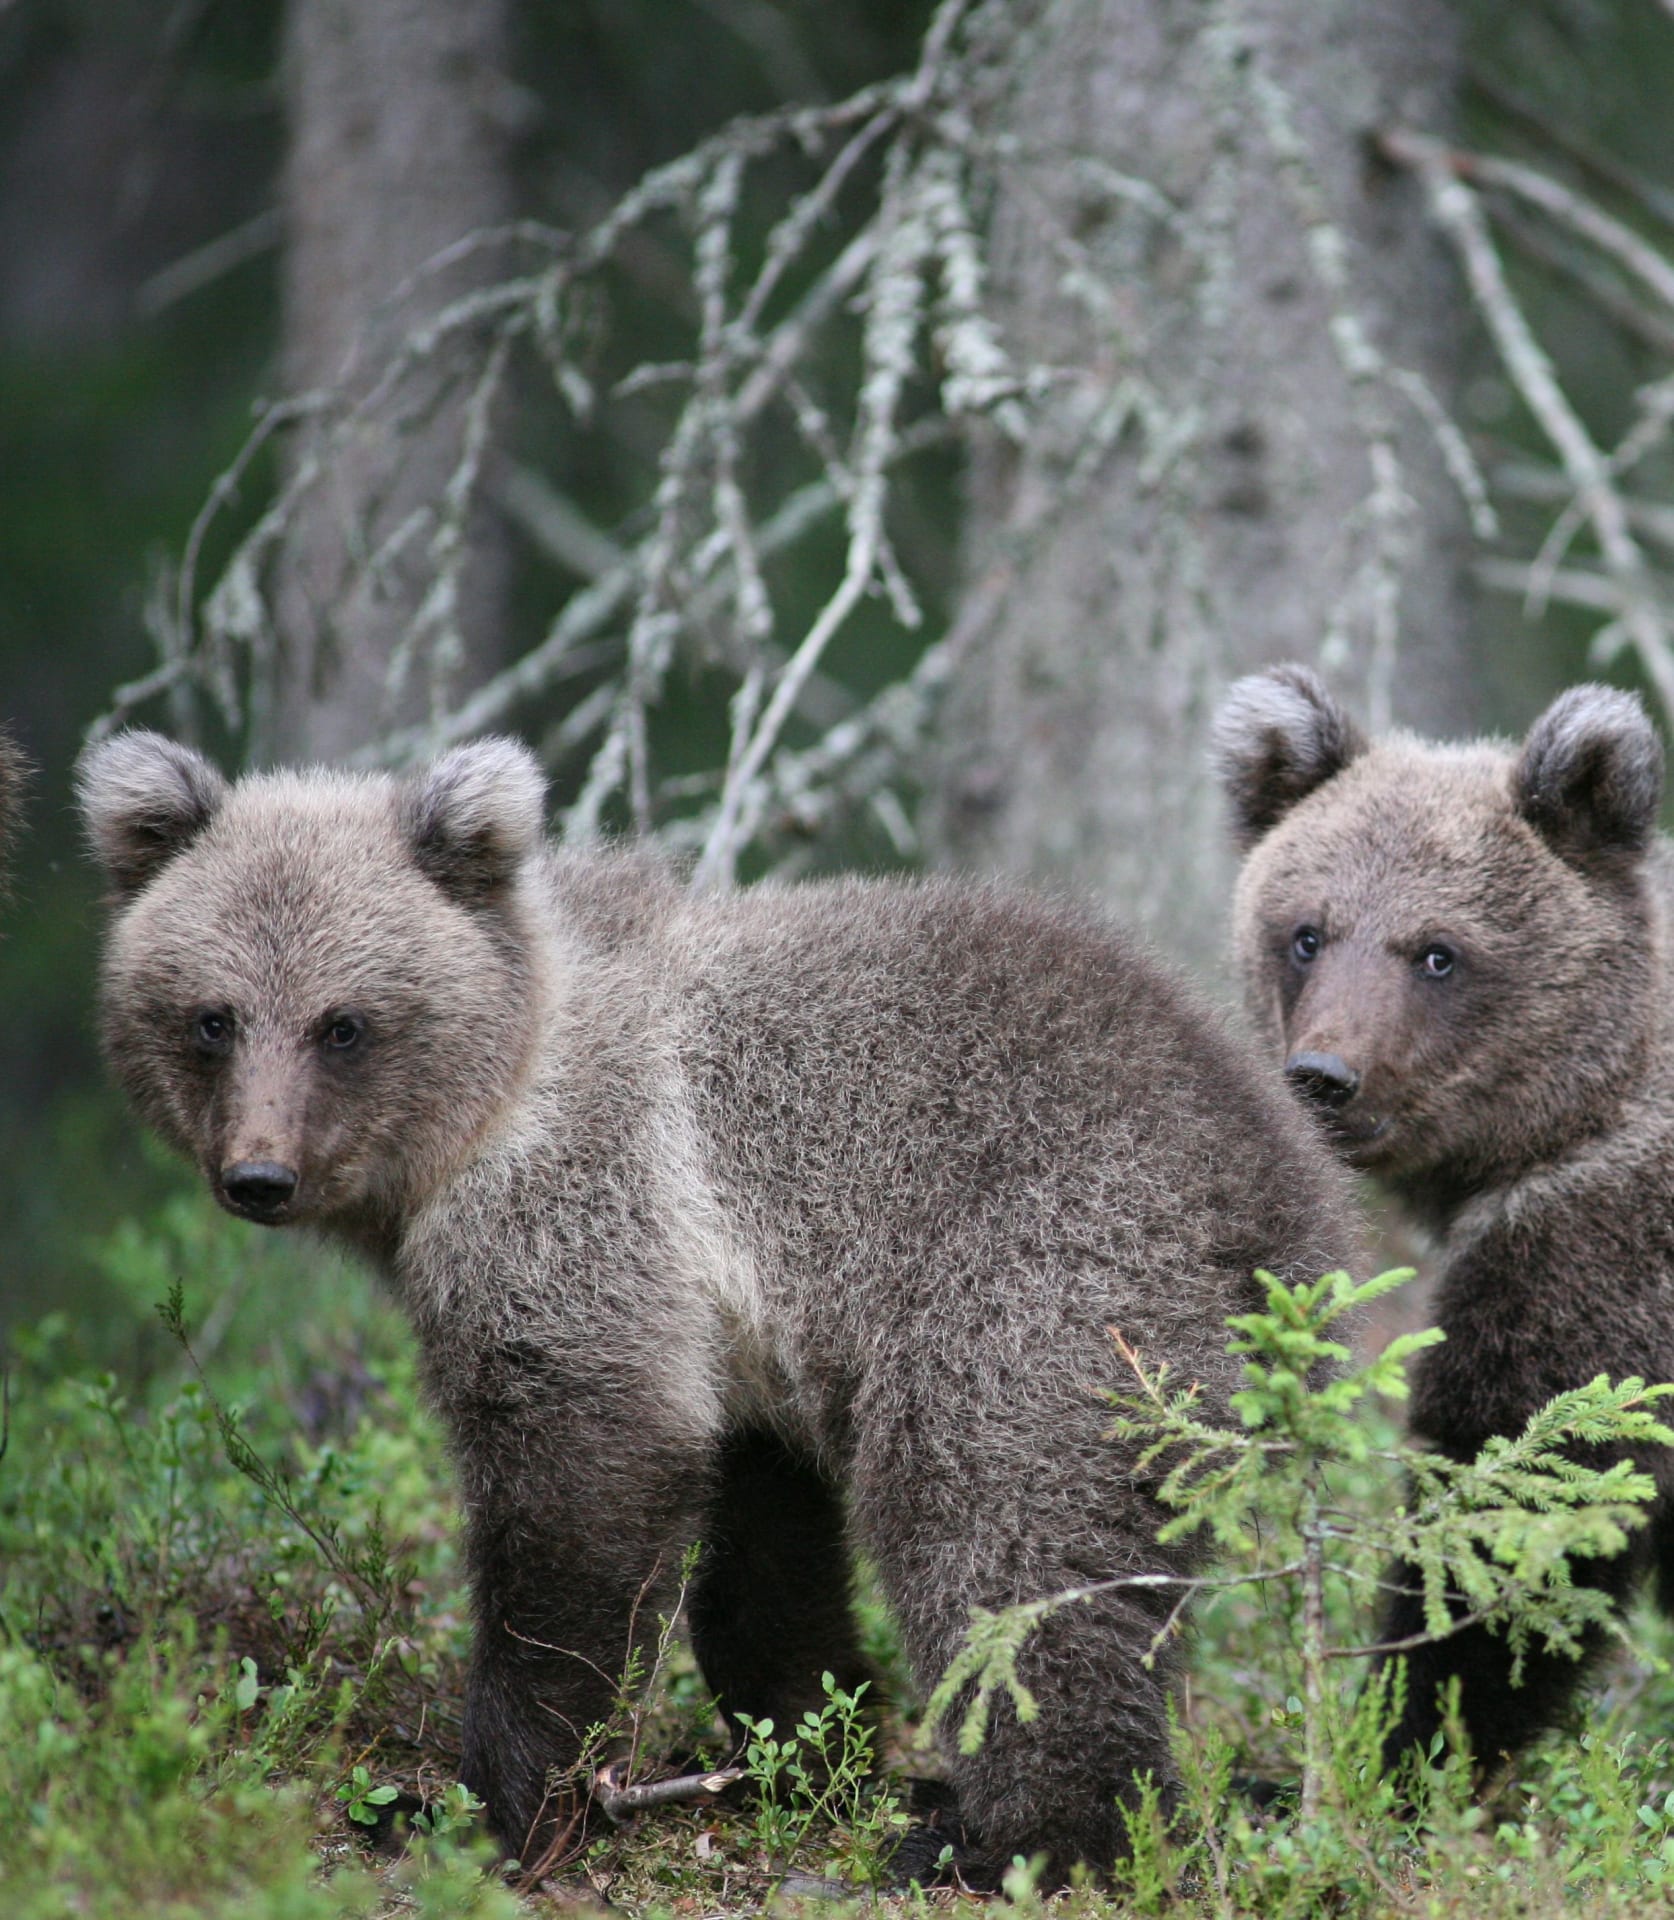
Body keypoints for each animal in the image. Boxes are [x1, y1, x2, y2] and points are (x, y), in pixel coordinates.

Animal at [78, 728, 1356, 1884]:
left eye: (343, 1023)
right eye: (211, 1016)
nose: (259, 1175)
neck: (491, 1109)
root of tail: (1287, 1192)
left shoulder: (592, 1215)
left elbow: (581, 1495)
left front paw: (490, 1807)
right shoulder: (738, 1333)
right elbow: (763, 1553)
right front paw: (816, 1746)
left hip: (1045, 1270)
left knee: (1001, 1542)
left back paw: (1021, 1836)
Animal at [1214, 663, 1674, 1780]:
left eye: (1437, 952)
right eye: (1306, 933)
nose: (1322, 1075)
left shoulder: (1602, 1248)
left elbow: (1518, 1497)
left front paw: (1407, 1744)